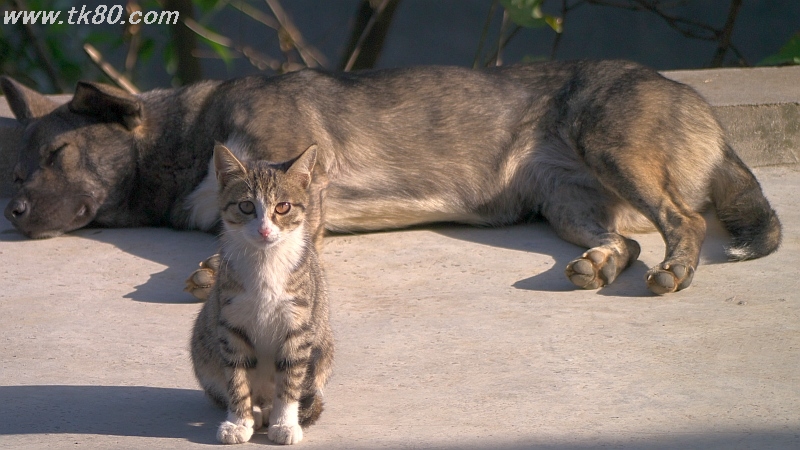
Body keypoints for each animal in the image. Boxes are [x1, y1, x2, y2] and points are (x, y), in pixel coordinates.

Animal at [1, 60, 781, 295]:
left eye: (58, 156)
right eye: (18, 168)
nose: (13, 212)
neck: (188, 135)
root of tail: (699, 102)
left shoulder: (297, 189)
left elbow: (238, 245)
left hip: (610, 146)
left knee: (685, 222)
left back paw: (676, 270)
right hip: (565, 203)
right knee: (627, 242)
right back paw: (600, 264)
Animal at [190, 142, 333, 445]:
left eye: (283, 207)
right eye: (246, 206)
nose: (265, 230)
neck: (265, 262)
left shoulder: (298, 323)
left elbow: (290, 377)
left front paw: (285, 423)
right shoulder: (231, 323)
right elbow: (237, 377)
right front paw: (238, 422)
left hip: (323, 348)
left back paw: (271, 413)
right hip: (203, 352)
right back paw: (256, 414)